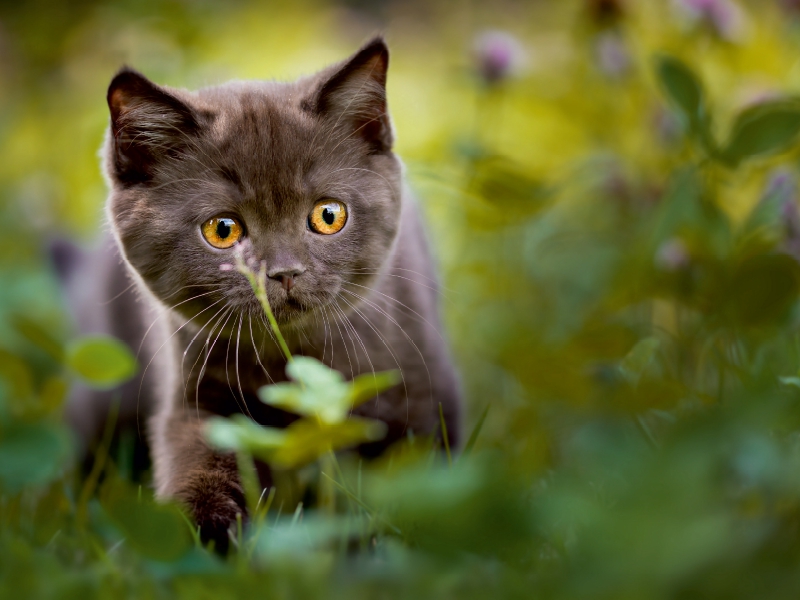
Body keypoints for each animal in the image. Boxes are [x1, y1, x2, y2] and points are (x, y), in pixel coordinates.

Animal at [64, 37, 462, 552]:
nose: (285, 272)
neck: (291, 356)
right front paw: (200, 538)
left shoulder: (422, 389)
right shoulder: (196, 392)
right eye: (223, 229)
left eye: (328, 214)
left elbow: (421, 481)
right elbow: (196, 459)